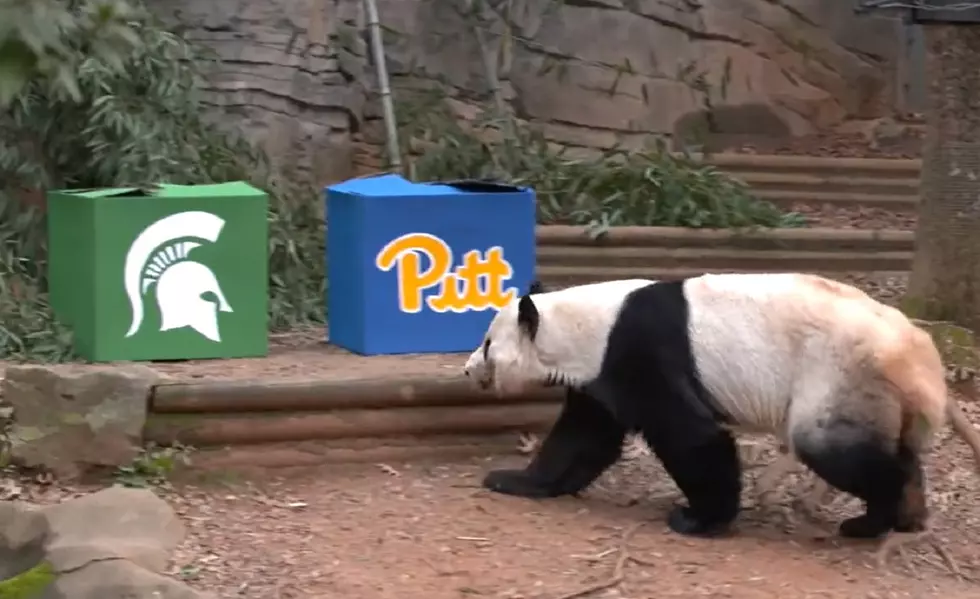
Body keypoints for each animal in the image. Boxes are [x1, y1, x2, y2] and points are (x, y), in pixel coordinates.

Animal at [463, 273, 980, 541]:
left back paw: (871, 520)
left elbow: (690, 435)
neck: (584, 324)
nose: (468, 372)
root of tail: (923, 357)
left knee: (838, 451)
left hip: (841, 374)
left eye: (487, 344)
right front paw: (514, 480)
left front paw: (697, 518)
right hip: (882, 395)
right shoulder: (599, 375)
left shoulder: (639, 349)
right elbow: (583, 435)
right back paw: (910, 515)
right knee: (897, 451)